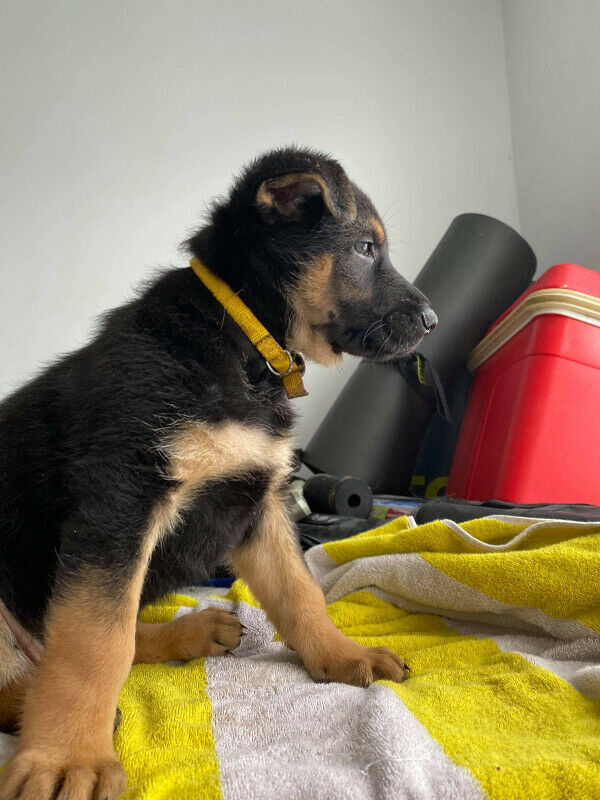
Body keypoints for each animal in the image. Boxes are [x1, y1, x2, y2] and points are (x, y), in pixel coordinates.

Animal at [0, 147, 436, 796]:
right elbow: (95, 641)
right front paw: (66, 758)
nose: (433, 320)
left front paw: (339, 654)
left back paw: (192, 632)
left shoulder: (257, 500)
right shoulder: (123, 501)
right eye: (364, 248)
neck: (244, 341)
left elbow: (299, 592)